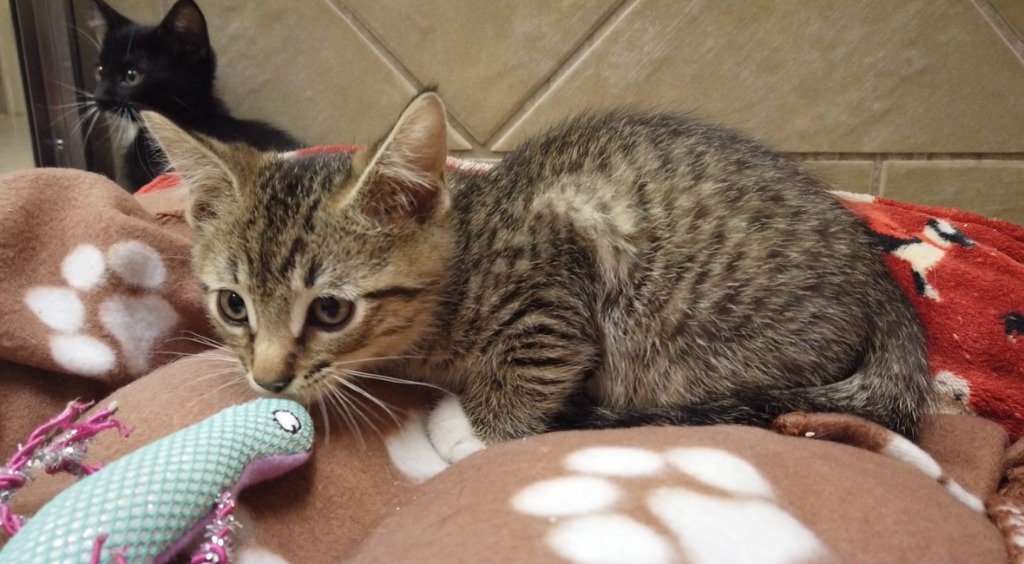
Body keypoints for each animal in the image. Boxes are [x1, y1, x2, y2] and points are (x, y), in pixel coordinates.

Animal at [146, 91, 937, 454]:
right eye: (233, 306)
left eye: (331, 310)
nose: (268, 381)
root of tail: (880, 280)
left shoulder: (556, 277)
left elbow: (531, 371)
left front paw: (467, 431)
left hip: (699, 347)